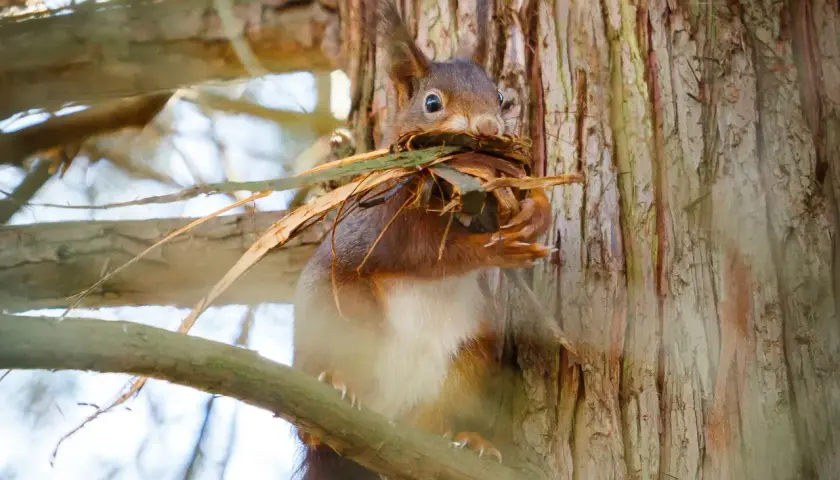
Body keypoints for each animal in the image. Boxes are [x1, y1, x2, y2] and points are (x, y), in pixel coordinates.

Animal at [292, 1, 552, 478]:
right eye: (432, 103)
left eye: (500, 98)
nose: (488, 126)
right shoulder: (387, 219)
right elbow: (427, 254)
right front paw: (494, 247)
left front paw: (536, 213)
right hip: (338, 314)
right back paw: (331, 398)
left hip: (468, 363)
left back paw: (468, 441)